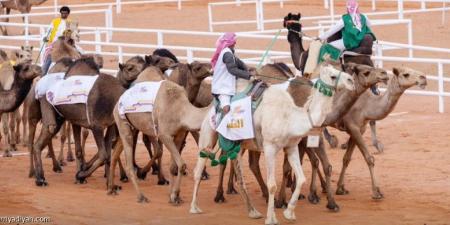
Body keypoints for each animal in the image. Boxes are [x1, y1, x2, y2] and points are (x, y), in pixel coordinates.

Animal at [106, 60, 212, 203]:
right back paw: (141, 195)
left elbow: (174, 166)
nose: (211, 68)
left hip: (131, 126)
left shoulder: (179, 134)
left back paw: (111, 188)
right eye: (198, 67)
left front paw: (174, 195)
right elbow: (181, 164)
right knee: (130, 161)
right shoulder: (164, 134)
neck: (182, 109)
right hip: (123, 121)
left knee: (115, 152)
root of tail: (119, 101)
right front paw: (174, 195)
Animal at [190, 62, 356, 225]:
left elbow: (301, 178)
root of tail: (212, 106)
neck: (291, 117)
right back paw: (194, 207)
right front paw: (271, 218)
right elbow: (272, 185)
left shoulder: (291, 147)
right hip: (209, 133)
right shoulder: (269, 147)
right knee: (199, 168)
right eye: (333, 75)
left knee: (239, 177)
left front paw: (289, 213)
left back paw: (253, 212)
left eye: (339, 69)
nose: (351, 81)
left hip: (237, 144)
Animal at [332, 67, 428, 199]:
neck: (367, 107)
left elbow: (346, 158)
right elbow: (369, 159)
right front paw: (376, 192)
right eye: (406, 74)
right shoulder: (353, 126)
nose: (424, 78)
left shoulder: (359, 129)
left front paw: (340, 189)